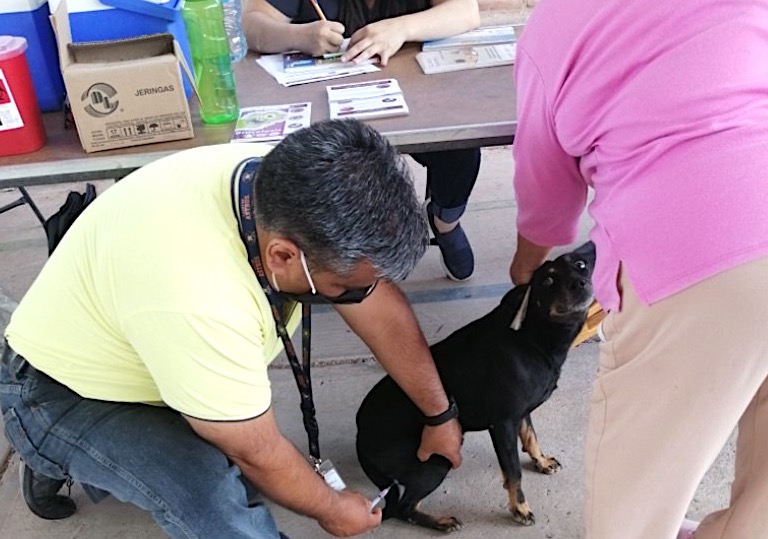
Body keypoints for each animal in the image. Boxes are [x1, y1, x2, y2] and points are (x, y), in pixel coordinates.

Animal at [356, 243, 596, 532]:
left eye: (580, 265)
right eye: (547, 281)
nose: (580, 283)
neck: (531, 337)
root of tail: (360, 435)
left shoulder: (521, 413)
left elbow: (531, 436)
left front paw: (541, 461)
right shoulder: (502, 423)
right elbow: (513, 471)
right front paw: (520, 509)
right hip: (436, 458)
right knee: (405, 508)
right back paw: (441, 522)